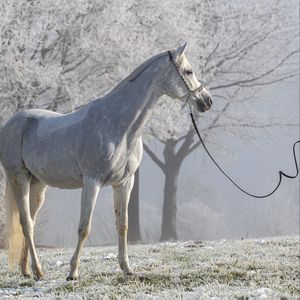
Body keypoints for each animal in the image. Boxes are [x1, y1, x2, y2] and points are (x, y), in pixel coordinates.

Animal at [0, 43, 211, 280]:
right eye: (189, 71)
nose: (207, 101)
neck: (119, 125)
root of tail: (13, 123)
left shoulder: (124, 183)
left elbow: (123, 225)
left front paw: (127, 268)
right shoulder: (92, 182)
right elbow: (84, 227)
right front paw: (73, 272)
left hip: (37, 184)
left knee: (30, 222)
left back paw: (27, 270)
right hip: (18, 178)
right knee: (26, 223)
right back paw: (38, 270)